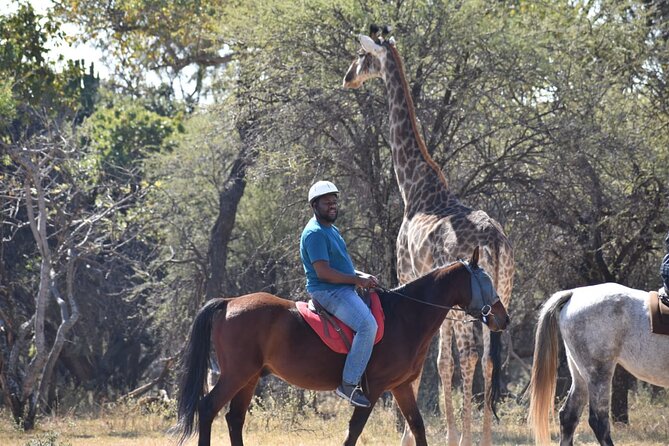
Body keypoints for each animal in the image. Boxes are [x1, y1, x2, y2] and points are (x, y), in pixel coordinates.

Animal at [172, 247, 506, 446]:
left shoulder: (400, 387)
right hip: (236, 374)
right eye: (487, 282)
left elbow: (417, 425)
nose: (503, 317)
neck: (406, 315)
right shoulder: (373, 389)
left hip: (250, 377)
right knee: (208, 408)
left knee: (234, 418)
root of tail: (229, 302)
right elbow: (354, 431)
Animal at [342, 28, 516, 446]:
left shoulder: (409, 274)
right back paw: (484, 438)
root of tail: (494, 241)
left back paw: (467, 438)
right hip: (503, 291)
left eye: (361, 55)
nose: (347, 78)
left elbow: (434, 363)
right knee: (489, 358)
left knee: (468, 356)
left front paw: (418, 435)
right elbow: (441, 362)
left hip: (474, 304)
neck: (415, 188)